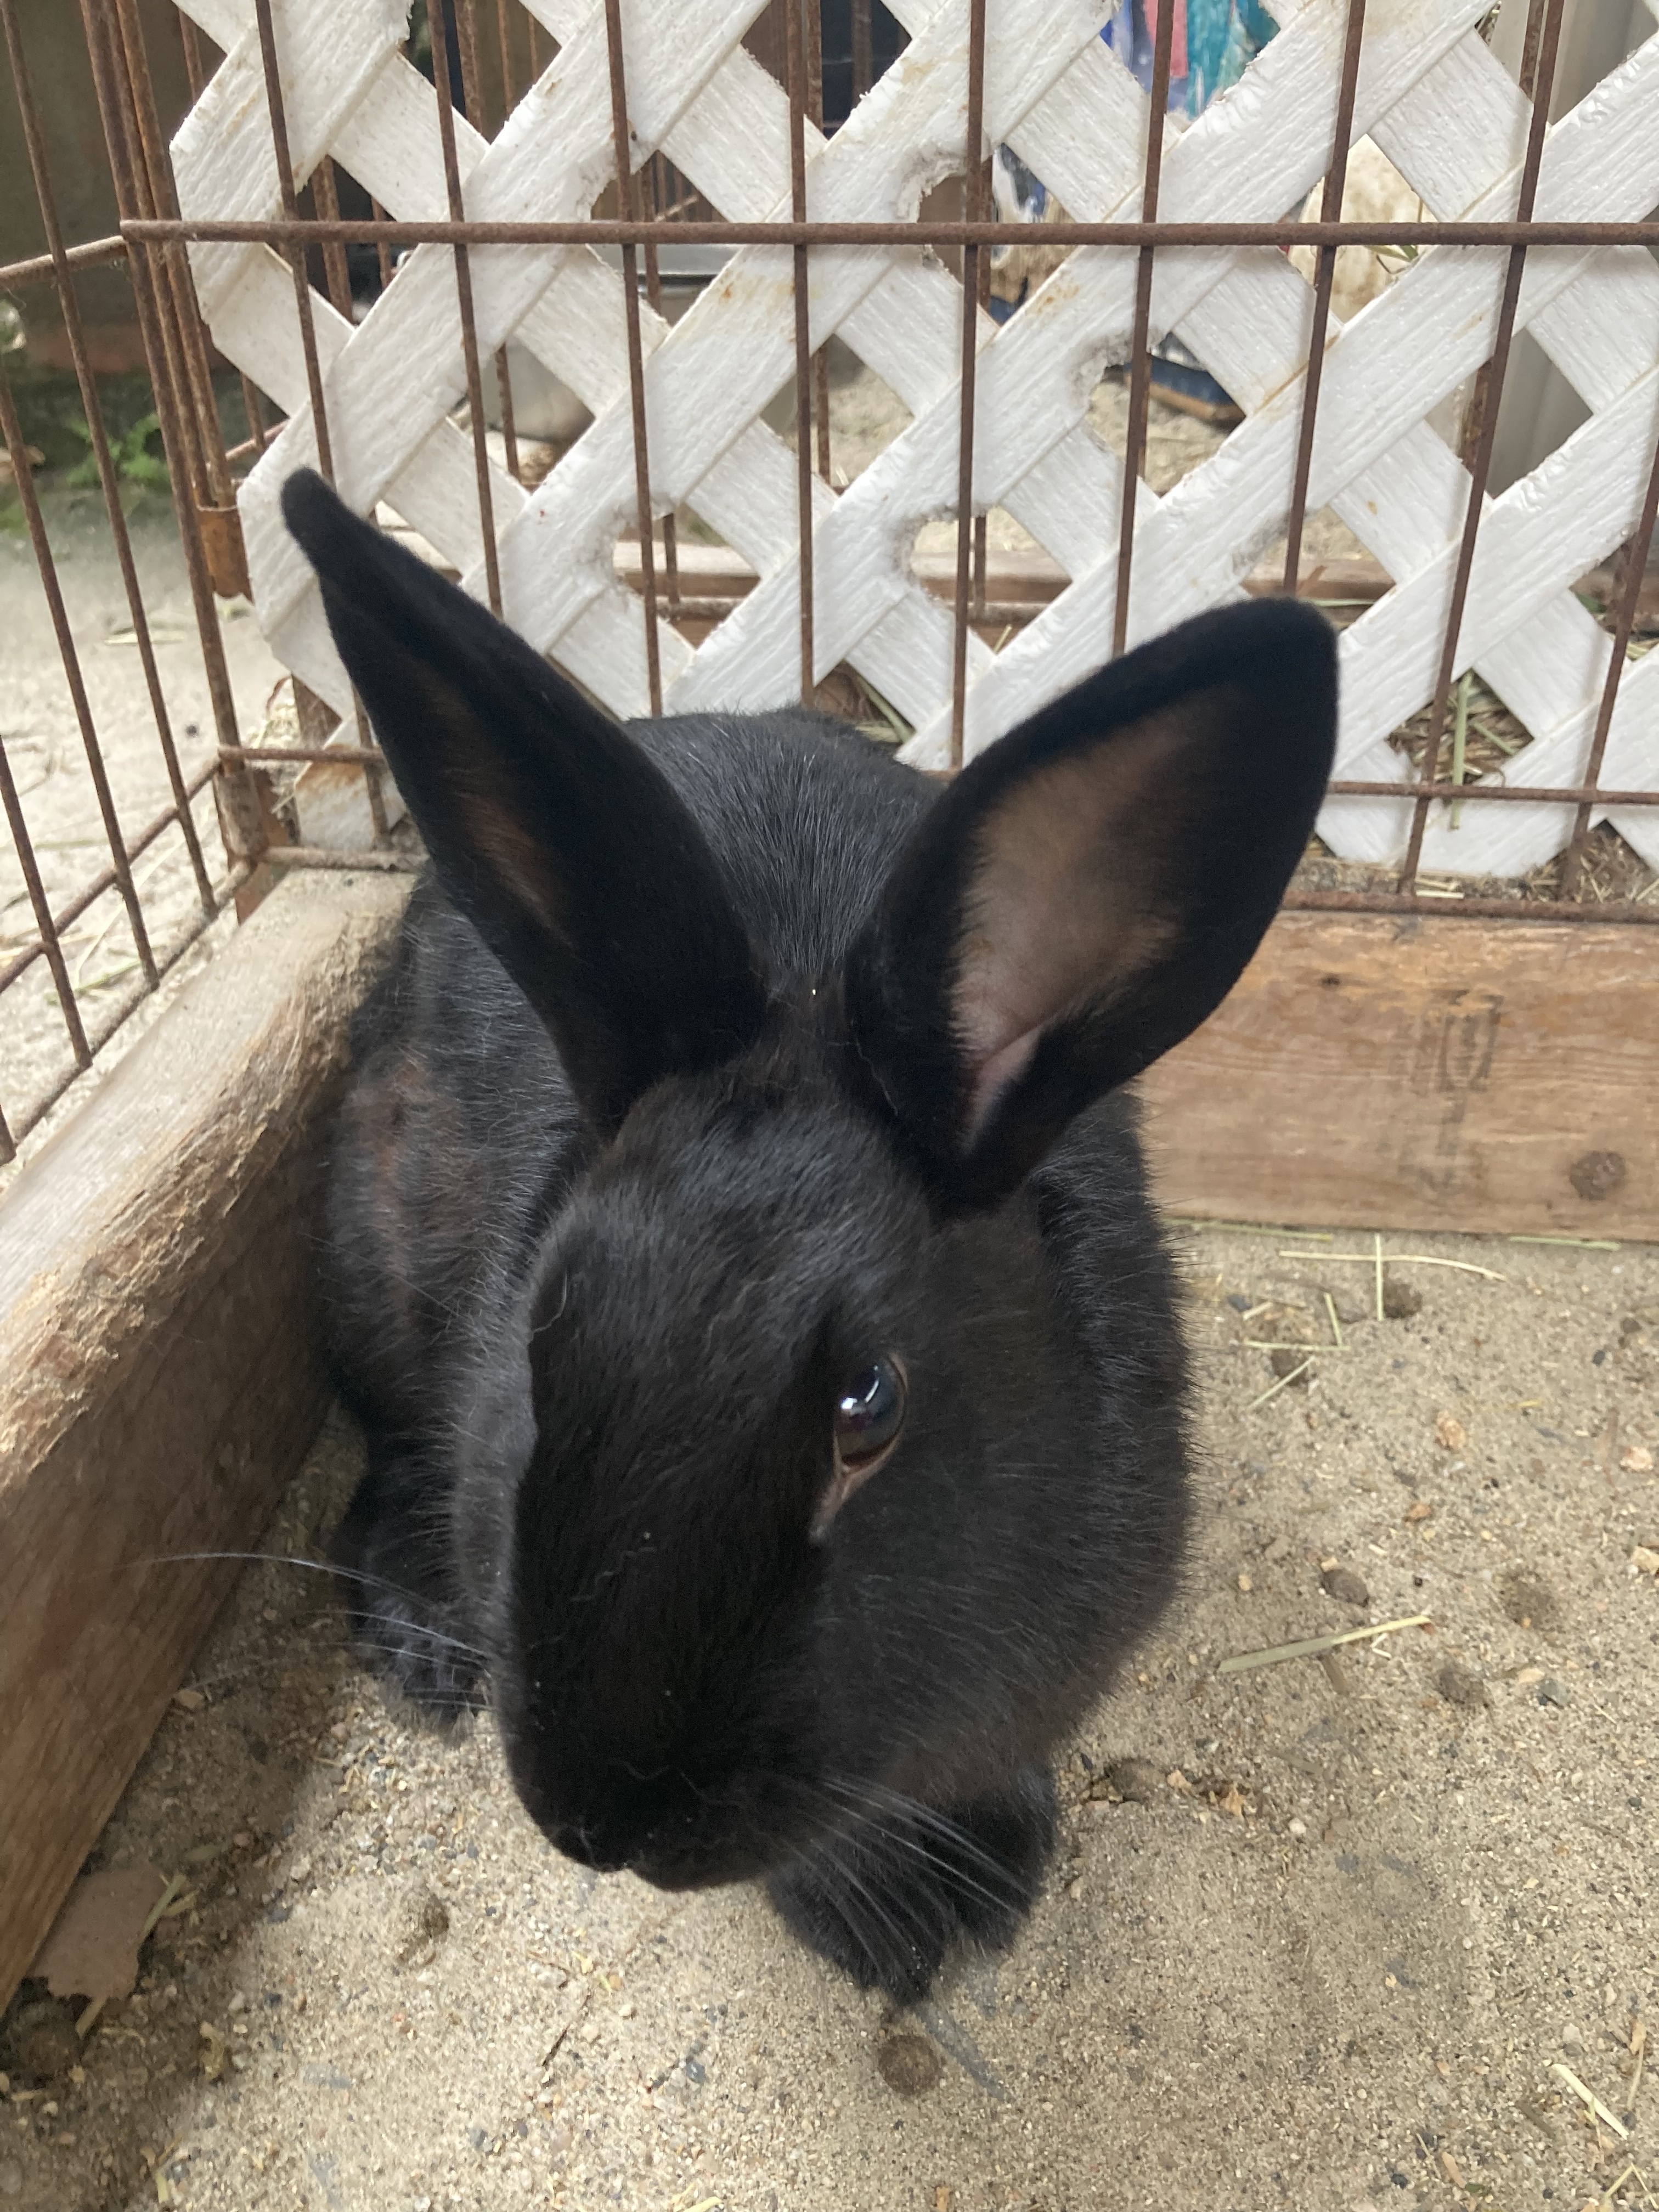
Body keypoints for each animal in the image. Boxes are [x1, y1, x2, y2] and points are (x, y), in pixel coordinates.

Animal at [282, 467, 1336, 2005]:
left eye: (869, 1408)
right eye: (539, 1341)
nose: (600, 1820)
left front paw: (969, 1895)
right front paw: (896, 1923)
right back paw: (426, 1648)